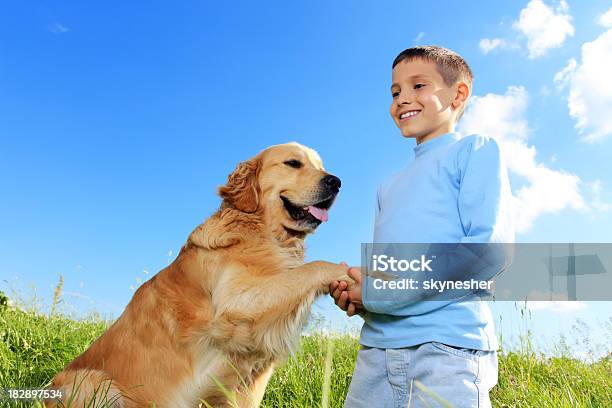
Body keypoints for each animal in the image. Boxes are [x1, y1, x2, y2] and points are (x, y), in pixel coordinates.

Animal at [46, 142, 354, 406]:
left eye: (321, 166)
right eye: (293, 163)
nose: (336, 181)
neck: (262, 232)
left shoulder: (254, 373)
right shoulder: (235, 303)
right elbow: (313, 267)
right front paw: (350, 274)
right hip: (95, 382)